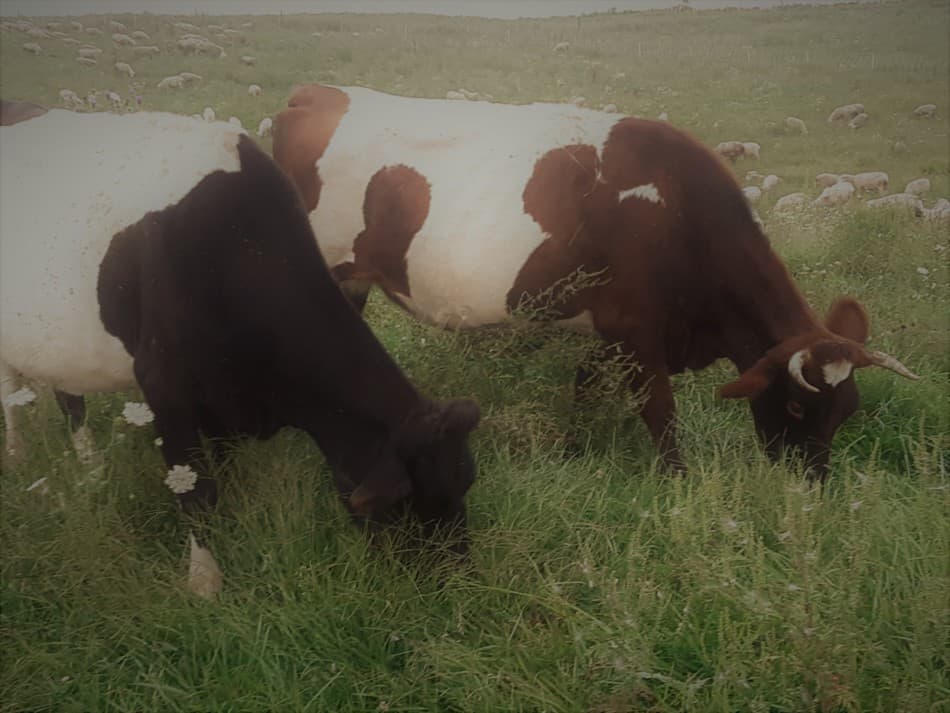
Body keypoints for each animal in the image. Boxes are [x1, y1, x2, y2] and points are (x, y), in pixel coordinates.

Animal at [1, 103, 484, 596]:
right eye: (408, 501)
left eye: (465, 480)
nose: (460, 580)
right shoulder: (163, 384)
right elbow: (195, 491)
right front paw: (204, 580)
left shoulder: (222, 397)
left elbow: (222, 466)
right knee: (12, 392)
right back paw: (17, 453)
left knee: (69, 396)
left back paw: (91, 466)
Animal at [270, 86, 924, 482]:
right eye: (793, 403)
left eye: (848, 410)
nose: (809, 483)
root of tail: (322, 93)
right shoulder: (639, 332)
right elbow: (660, 412)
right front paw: (678, 483)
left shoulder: (608, 329)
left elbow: (584, 390)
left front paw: (572, 452)